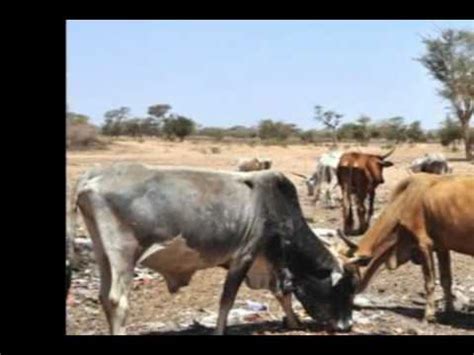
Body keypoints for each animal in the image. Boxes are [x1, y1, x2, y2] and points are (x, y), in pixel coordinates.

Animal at [67, 164, 362, 336]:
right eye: (345, 288)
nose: (347, 325)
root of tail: (93, 176)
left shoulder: (271, 262)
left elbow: (282, 293)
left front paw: (293, 322)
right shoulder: (244, 256)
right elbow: (226, 301)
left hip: (102, 253)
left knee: (104, 297)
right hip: (124, 254)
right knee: (118, 300)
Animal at [334, 174, 474, 324]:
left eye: (347, 273)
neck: (404, 201)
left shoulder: (424, 244)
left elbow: (429, 282)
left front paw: (429, 315)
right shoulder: (442, 247)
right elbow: (446, 280)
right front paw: (449, 311)